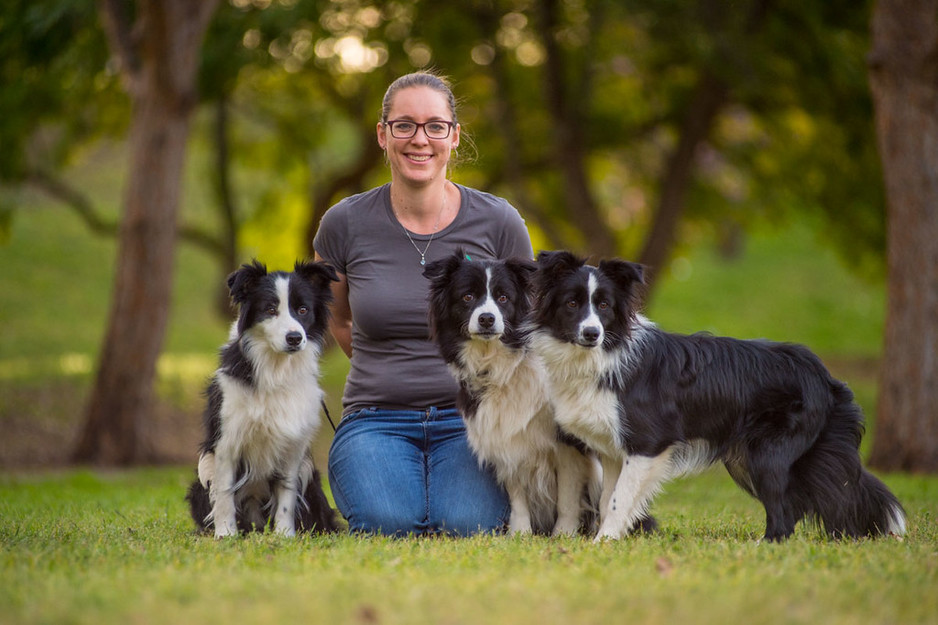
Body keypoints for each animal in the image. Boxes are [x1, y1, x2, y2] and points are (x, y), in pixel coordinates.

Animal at [185, 258, 338, 536]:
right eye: (270, 309)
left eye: (303, 310)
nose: (295, 338)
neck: (276, 368)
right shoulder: (227, 441)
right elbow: (224, 493)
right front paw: (225, 534)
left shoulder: (292, 443)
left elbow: (286, 493)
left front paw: (285, 535)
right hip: (200, 480)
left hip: (312, 481)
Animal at [424, 251, 592, 532]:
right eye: (467, 296)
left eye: (503, 298)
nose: (487, 319)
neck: (500, 366)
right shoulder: (502, 434)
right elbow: (516, 491)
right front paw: (520, 533)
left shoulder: (569, 444)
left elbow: (568, 496)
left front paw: (564, 534)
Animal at [532, 250, 904, 540]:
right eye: (572, 303)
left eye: (605, 306)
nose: (591, 333)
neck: (602, 355)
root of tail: (825, 376)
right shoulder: (613, 450)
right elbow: (608, 495)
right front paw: (607, 538)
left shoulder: (647, 444)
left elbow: (618, 499)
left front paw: (604, 542)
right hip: (760, 455)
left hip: (767, 453)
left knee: (785, 511)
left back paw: (765, 545)